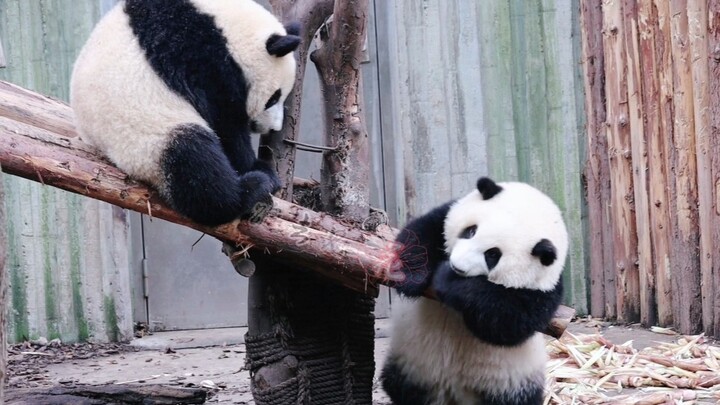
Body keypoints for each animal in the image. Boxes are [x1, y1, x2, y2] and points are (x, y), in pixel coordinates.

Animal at [70, 0, 300, 226]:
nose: (273, 127)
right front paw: (260, 169)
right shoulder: (198, 54)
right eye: (273, 98)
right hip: (148, 139)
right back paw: (249, 190)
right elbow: (225, 123)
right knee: (194, 162)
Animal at [380, 177, 572, 404]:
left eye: (492, 255)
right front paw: (413, 275)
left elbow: (505, 321)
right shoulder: (445, 214)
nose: (457, 265)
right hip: (413, 364)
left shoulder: (544, 292)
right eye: (470, 231)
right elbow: (422, 230)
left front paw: (448, 280)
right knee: (401, 386)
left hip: (511, 381)